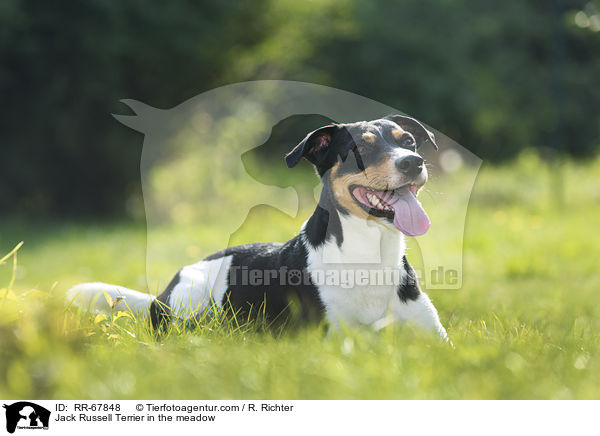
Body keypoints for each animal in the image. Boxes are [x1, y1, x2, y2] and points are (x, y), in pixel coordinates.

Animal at [68, 116, 448, 340]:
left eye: (408, 141)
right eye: (361, 148)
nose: (413, 162)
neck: (370, 253)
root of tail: (157, 298)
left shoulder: (435, 342)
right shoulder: (332, 341)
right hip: (190, 299)